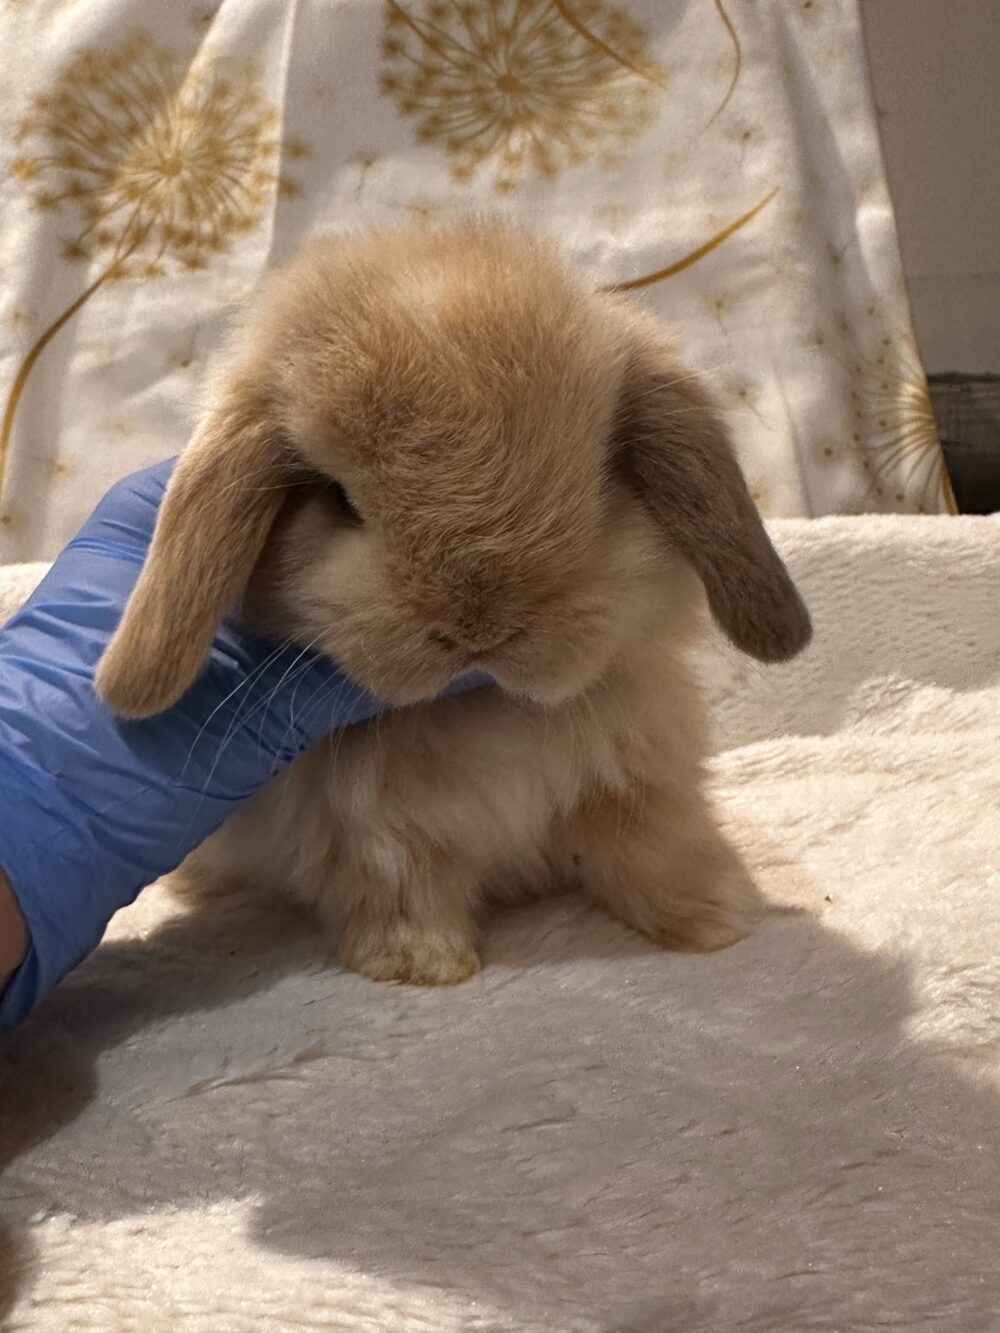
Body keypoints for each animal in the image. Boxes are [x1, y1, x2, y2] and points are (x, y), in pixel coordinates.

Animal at [95, 219, 811, 986]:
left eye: (597, 473)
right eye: (336, 497)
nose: (478, 627)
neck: (488, 709)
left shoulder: (636, 773)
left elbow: (655, 842)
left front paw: (717, 916)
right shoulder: (375, 830)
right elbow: (406, 885)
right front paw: (421, 965)